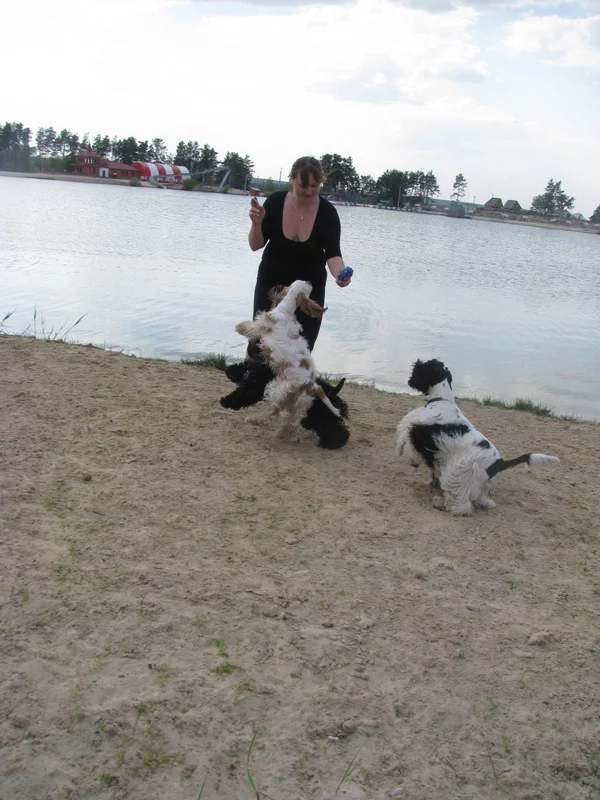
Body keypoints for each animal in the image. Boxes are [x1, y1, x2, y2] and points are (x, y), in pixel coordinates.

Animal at [220, 280, 349, 449]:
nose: (310, 281)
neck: (285, 310)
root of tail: (313, 386)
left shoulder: (262, 325)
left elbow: (251, 327)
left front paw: (239, 327)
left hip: (276, 390)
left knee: (274, 411)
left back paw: (255, 420)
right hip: (295, 401)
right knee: (289, 420)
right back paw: (280, 432)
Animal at [396, 359, 559, 514]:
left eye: (424, 366)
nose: (412, 376)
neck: (442, 400)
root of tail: (499, 463)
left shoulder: (415, 427)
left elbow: (405, 439)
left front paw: (410, 459)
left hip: (457, 475)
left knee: (462, 507)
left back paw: (441, 504)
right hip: (481, 485)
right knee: (484, 502)